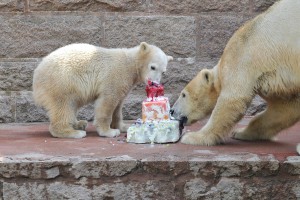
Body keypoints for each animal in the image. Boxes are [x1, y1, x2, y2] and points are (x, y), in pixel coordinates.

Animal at [32, 42, 173, 138]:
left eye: (163, 71)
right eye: (153, 67)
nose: (154, 83)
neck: (131, 63)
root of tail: (37, 74)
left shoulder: (124, 84)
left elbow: (118, 106)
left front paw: (122, 127)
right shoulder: (115, 75)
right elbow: (108, 101)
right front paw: (109, 131)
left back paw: (79, 124)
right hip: (62, 82)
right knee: (63, 106)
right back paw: (74, 132)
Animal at [170, 0, 300, 150]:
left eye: (183, 94)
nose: (172, 111)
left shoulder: (240, 57)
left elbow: (232, 99)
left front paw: (193, 137)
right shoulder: (274, 80)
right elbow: (285, 108)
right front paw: (241, 133)